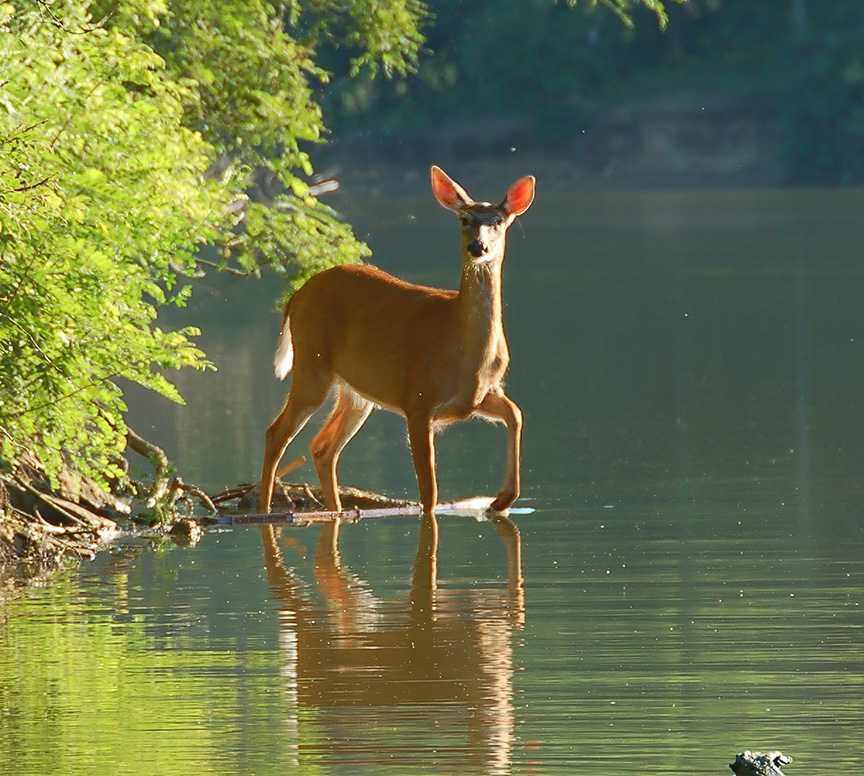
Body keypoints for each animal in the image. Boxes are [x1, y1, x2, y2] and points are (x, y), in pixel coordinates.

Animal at [257, 166, 535, 515]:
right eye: (464, 219)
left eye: (498, 220)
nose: (477, 248)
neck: (464, 350)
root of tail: (295, 296)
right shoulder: (418, 400)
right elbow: (429, 495)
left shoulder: (480, 394)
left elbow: (516, 413)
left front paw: (502, 499)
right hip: (312, 367)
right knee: (276, 433)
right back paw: (263, 511)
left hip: (357, 392)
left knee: (323, 446)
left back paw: (336, 509)